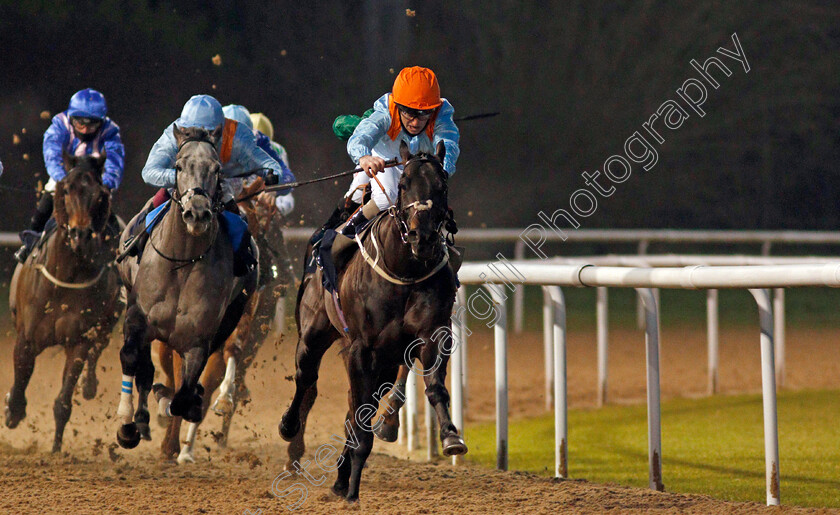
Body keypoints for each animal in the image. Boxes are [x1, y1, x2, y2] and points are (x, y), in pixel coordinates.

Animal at [5, 155, 121, 454]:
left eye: (99, 194)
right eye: (66, 189)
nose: (80, 235)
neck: (66, 277)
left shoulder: (78, 340)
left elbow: (63, 402)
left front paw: (56, 449)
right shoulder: (27, 338)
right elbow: (20, 382)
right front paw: (12, 410)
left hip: (109, 321)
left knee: (99, 347)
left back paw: (89, 385)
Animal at [115, 126, 258, 452]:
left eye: (217, 170)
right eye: (178, 167)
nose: (198, 213)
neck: (181, 262)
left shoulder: (197, 341)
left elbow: (182, 395)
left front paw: (177, 404)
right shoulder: (138, 318)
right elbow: (132, 359)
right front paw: (127, 425)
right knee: (144, 369)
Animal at [280, 141, 466, 504]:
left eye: (442, 186)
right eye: (404, 184)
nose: (422, 236)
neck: (404, 271)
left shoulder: (430, 336)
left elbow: (434, 387)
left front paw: (451, 437)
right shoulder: (361, 349)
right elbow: (359, 413)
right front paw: (353, 487)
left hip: (385, 362)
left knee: (354, 408)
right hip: (314, 333)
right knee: (306, 376)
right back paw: (289, 427)